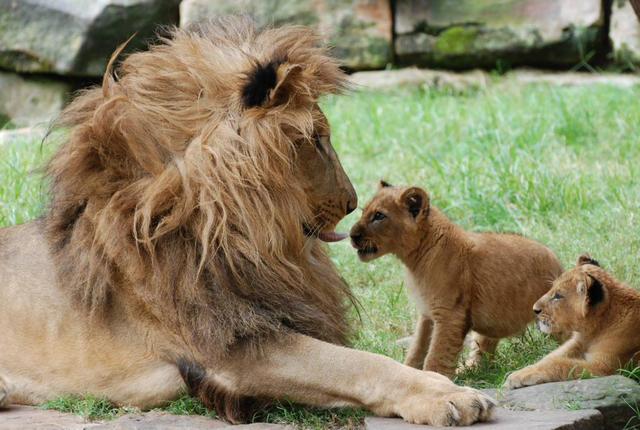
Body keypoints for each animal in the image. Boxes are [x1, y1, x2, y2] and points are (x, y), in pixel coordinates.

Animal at [0, 17, 492, 426]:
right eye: (318, 139)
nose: (352, 200)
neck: (237, 236)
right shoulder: (231, 350)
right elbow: (357, 364)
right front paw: (447, 395)